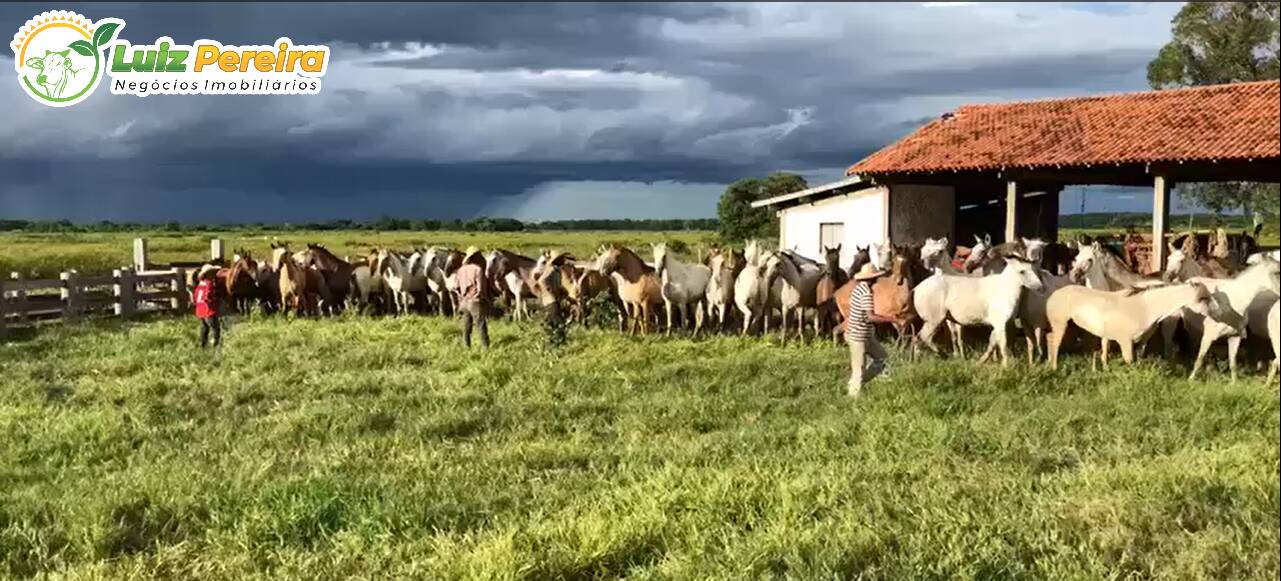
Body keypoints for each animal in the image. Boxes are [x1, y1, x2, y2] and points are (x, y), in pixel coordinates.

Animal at [912, 255, 1040, 366]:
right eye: (1022, 271)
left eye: (1034, 269)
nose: (1039, 287)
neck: (1005, 288)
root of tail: (917, 288)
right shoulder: (1000, 323)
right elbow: (1002, 345)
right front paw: (1005, 367)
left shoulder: (997, 325)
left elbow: (992, 343)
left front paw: (980, 362)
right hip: (933, 320)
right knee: (923, 338)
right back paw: (942, 355)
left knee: (919, 339)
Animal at [1050, 282, 1209, 371]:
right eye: (1203, 298)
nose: (1211, 315)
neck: (1145, 308)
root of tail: (1054, 294)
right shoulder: (1125, 342)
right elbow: (1129, 362)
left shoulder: (1141, 341)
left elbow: (1137, 359)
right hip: (1060, 325)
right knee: (1055, 345)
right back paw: (1054, 368)